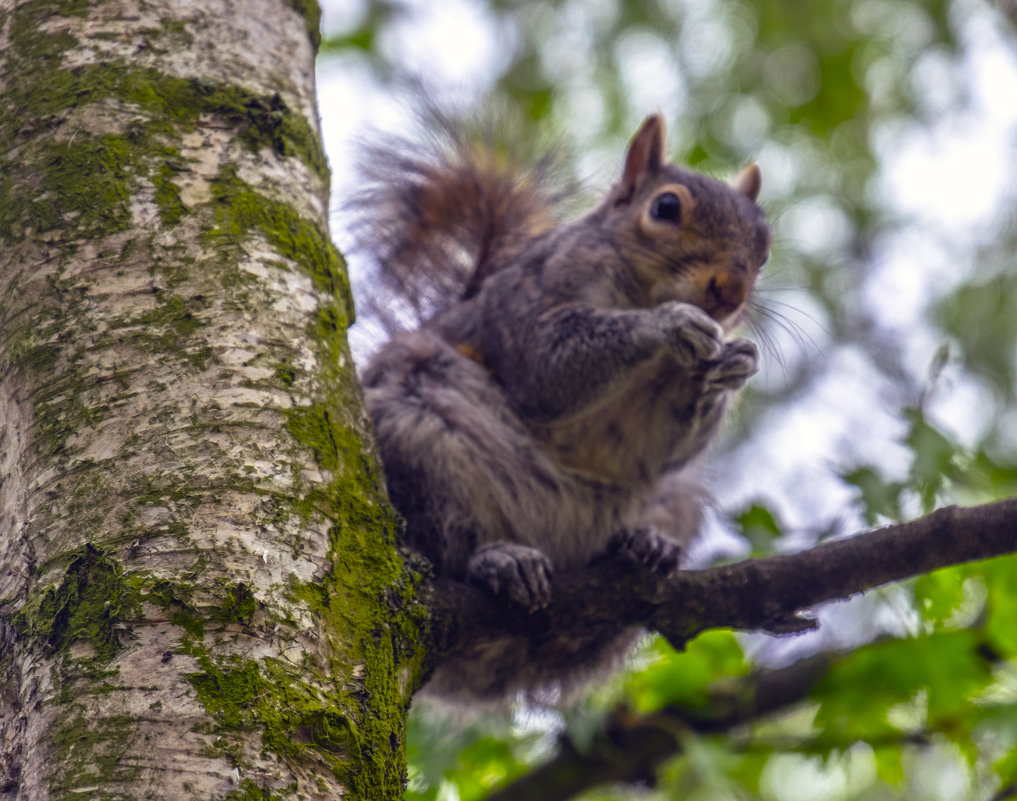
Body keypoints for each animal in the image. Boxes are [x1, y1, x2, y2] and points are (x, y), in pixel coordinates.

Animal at [351, 112, 768, 699]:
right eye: (666, 208)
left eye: (764, 246)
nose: (730, 291)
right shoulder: (530, 304)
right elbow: (548, 370)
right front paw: (666, 323)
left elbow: (662, 448)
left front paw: (733, 365)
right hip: (413, 435)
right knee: (445, 544)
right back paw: (499, 560)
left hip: (674, 502)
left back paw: (644, 546)